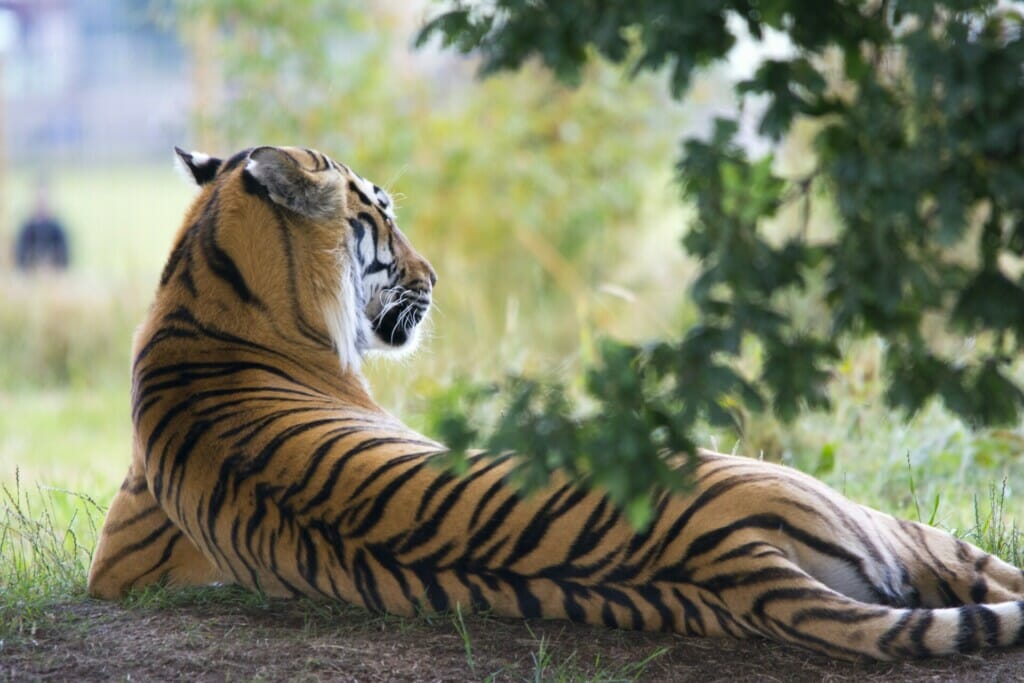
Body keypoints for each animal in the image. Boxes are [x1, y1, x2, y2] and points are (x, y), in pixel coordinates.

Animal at [90, 145, 1024, 663]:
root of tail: (731, 562)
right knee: (986, 568)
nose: (436, 276)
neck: (203, 284)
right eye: (380, 218)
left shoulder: (118, 561)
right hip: (861, 511)